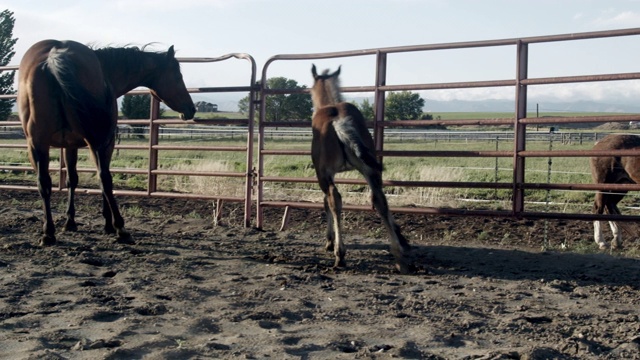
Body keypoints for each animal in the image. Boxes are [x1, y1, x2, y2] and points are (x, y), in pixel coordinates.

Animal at [19, 40, 195, 246]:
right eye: (178, 76)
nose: (191, 109)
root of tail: (53, 57)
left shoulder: (69, 145)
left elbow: (72, 179)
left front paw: (70, 222)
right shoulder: (106, 142)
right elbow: (102, 179)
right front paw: (108, 224)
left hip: (36, 145)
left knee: (43, 184)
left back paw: (48, 233)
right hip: (95, 141)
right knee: (105, 179)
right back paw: (121, 229)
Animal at [308, 64, 410, 272]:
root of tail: (339, 121)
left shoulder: (323, 173)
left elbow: (326, 202)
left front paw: (329, 241)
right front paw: (403, 239)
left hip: (327, 173)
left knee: (335, 199)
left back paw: (340, 254)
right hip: (370, 170)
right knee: (379, 199)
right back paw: (399, 256)